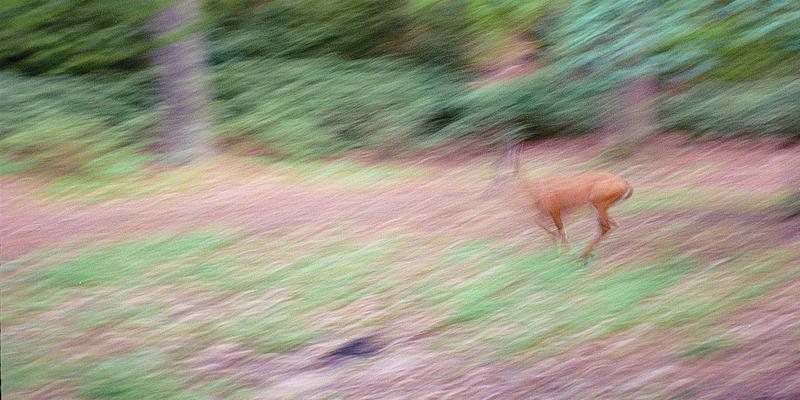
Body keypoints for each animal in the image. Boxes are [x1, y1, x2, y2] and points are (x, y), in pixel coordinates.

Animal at [489, 141, 633, 258]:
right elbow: (541, 223)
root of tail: (626, 184)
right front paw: (557, 249)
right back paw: (589, 252)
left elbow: (560, 229)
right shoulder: (547, 211)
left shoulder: (554, 209)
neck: (537, 189)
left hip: (599, 202)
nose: (496, 180)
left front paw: (564, 252)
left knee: (606, 226)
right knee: (611, 224)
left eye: (503, 165)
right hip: (598, 206)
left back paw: (583, 255)